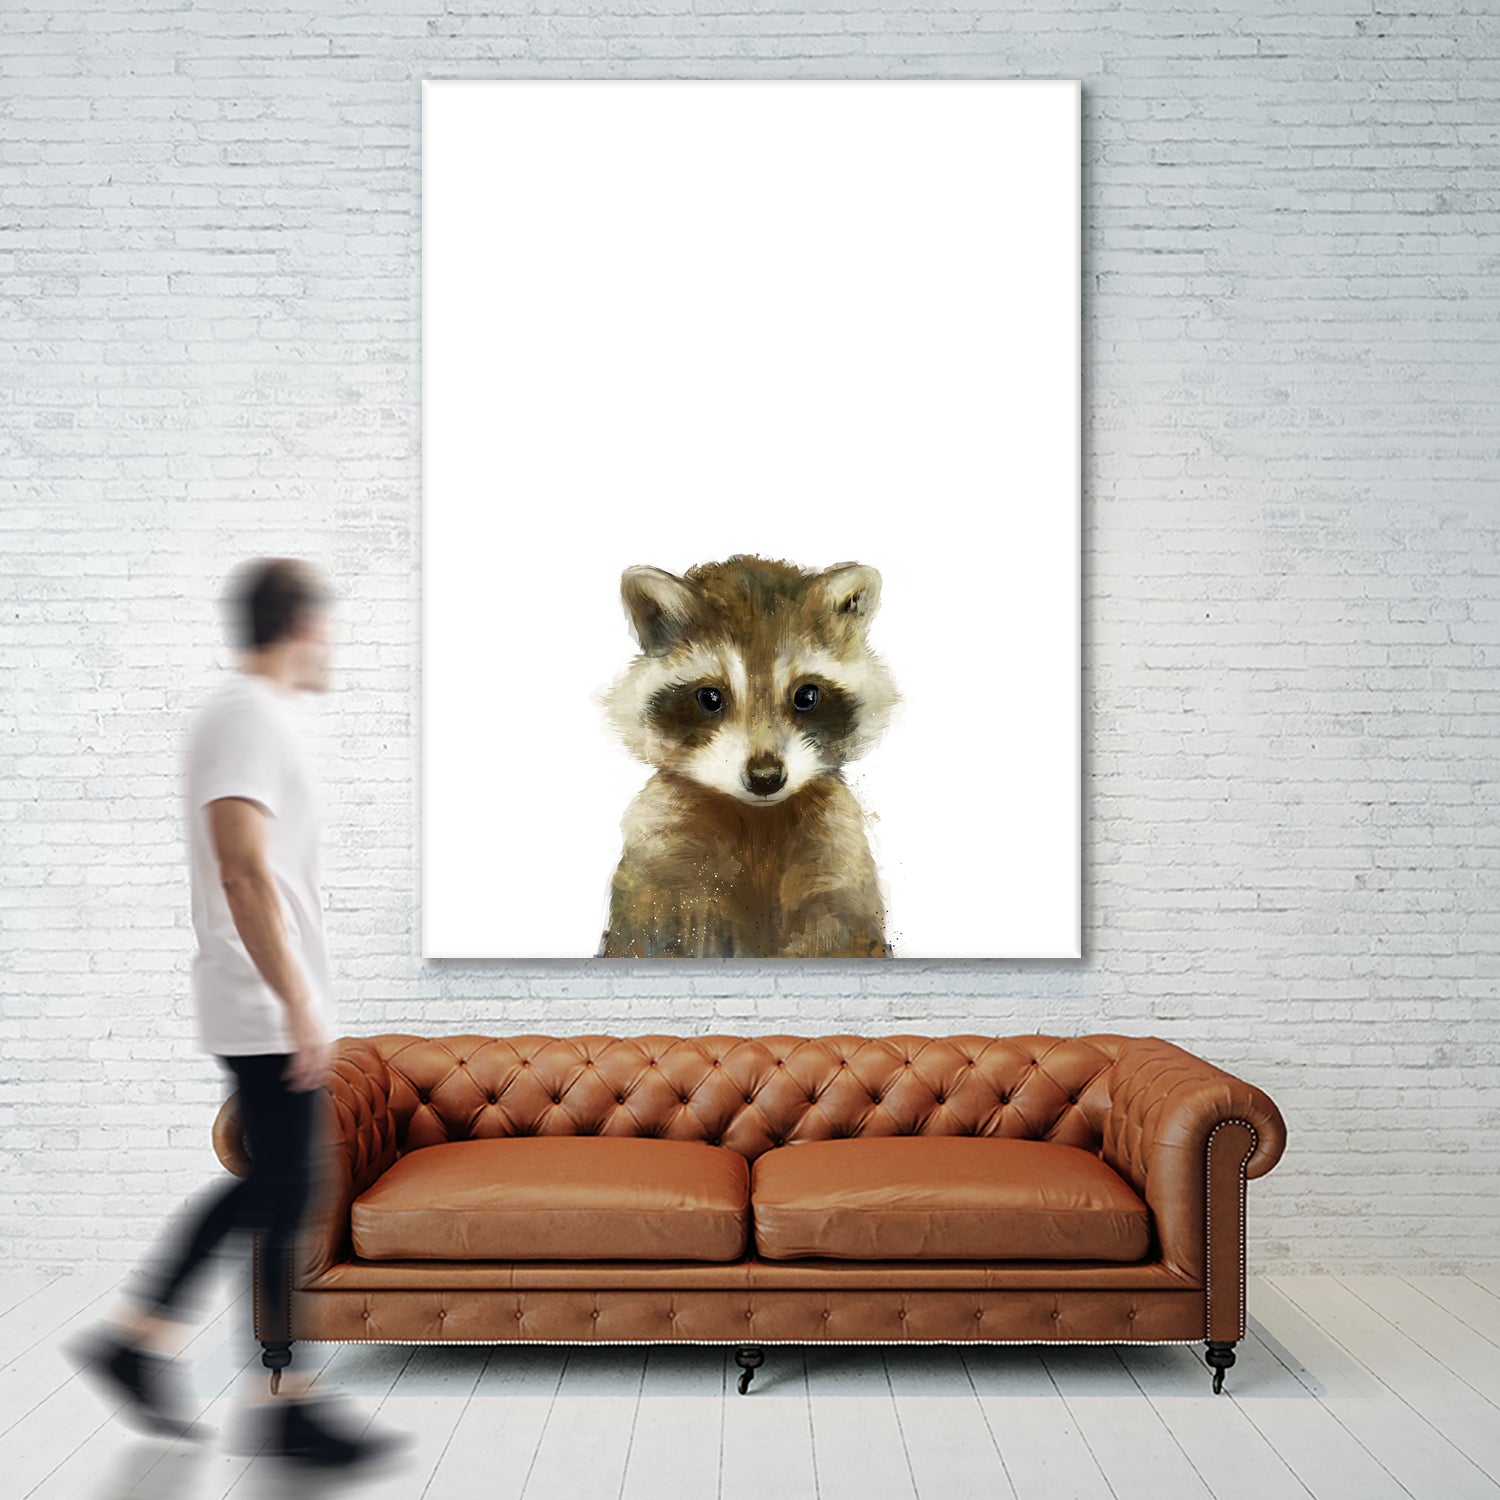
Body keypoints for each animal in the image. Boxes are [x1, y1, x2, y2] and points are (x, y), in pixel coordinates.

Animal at [598, 554, 899, 958]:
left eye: (806, 696)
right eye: (710, 698)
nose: (765, 777)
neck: (758, 820)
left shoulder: (838, 855)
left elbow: (842, 934)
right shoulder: (660, 858)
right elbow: (651, 935)